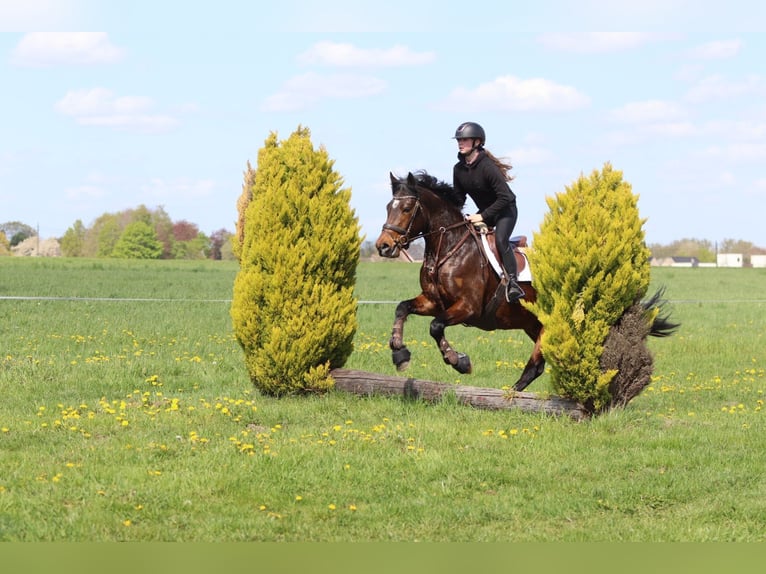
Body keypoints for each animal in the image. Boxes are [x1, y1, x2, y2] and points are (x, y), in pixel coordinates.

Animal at [374, 171, 546, 392]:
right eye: (388, 207)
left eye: (406, 209)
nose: (383, 246)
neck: (448, 249)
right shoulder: (433, 302)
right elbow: (402, 308)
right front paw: (399, 353)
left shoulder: (469, 307)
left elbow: (435, 326)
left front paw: (458, 361)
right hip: (530, 323)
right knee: (539, 365)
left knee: (537, 361)